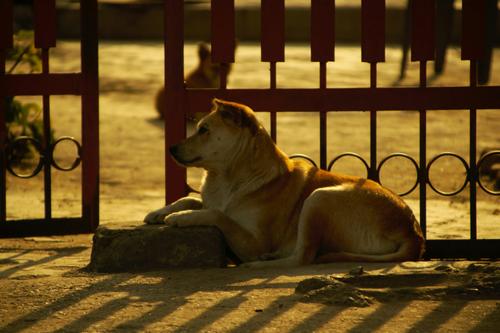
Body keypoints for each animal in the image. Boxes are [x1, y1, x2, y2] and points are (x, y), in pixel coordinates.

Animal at [146, 97, 426, 266]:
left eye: (204, 130)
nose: (171, 149)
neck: (228, 178)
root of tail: (413, 232)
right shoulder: (209, 199)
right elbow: (192, 198)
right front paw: (160, 211)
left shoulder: (255, 240)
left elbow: (217, 214)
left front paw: (180, 218)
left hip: (319, 197)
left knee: (302, 257)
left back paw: (257, 264)